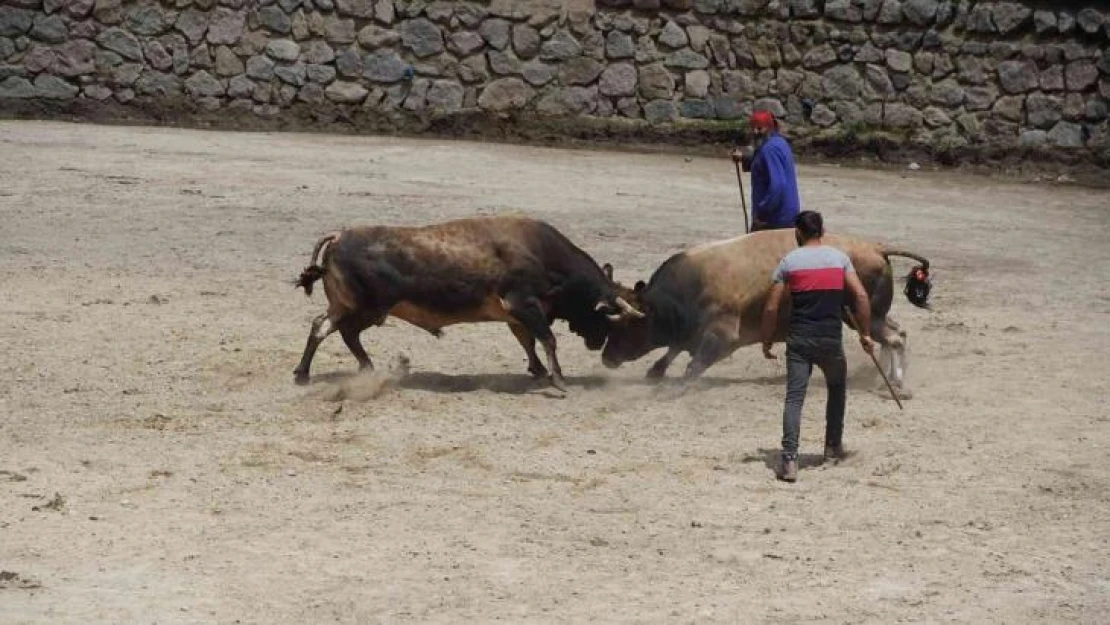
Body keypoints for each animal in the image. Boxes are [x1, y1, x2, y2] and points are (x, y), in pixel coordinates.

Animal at [293, 216, 643, 390]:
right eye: (610, 318)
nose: (597, 346)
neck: (544, 254)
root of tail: (340, 235)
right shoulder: (523, 305)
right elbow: (546, 338)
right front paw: (558, 379)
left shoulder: (516, 315)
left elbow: (527, 341)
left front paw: (539, 370)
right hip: (365, 308)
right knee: (341, 331)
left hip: (346, 305)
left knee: (323, 327)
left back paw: (311, 373)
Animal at [599, 229, 927, 392]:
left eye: (626, 325)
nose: (606, 358)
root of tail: (876, 249)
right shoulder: (691, 332)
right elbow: (673, 349)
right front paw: (656, 371)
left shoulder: (722, 334)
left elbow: (693, 363)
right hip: (872, 315)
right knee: (896, 334)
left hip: (862, 315)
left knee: (894, 339)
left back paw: (896, 381)